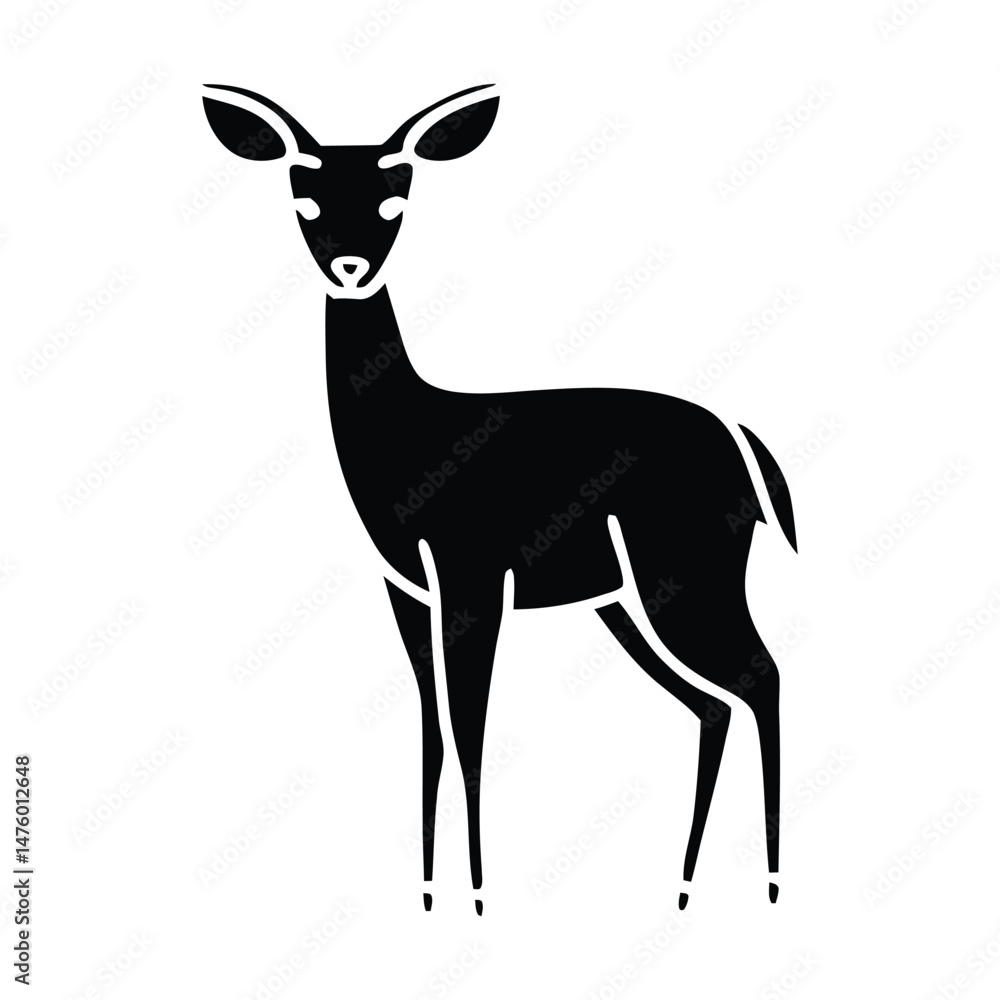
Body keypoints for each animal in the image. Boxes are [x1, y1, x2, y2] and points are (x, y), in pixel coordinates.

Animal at [202, 83, 798, 915]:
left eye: (395, 200)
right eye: (305, 199)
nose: (351, 267)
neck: (410, 434)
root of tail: (743, 445)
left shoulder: (472, 578)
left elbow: (470, 730)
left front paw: (479, 897)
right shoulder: (407, 591)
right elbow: (432, 730)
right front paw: (428, 893)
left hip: (685, 576)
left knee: (761, 676)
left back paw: (770, 884)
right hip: (628, 599)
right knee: (715, 700)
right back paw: (682, 888)